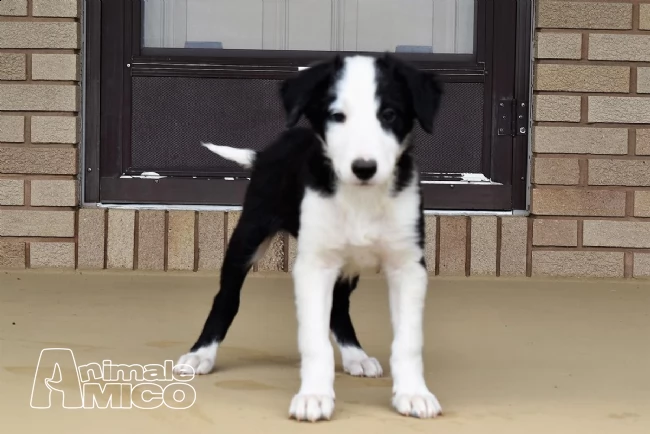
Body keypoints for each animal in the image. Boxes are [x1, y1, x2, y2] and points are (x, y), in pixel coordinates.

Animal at [175, 52, 442, 422]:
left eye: (389, 115)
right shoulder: (314, 267)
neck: (361, 197)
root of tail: (266, 152)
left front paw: (413, 394)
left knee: (339, 308)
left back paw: (356, 356)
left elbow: (408, 341)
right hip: (249, 235)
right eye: (337, 116)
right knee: (226, 298)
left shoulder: (408, 266)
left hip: (347, 264)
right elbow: (314, 341)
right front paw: (313, 396)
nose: (364, 167)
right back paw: (202, 353)